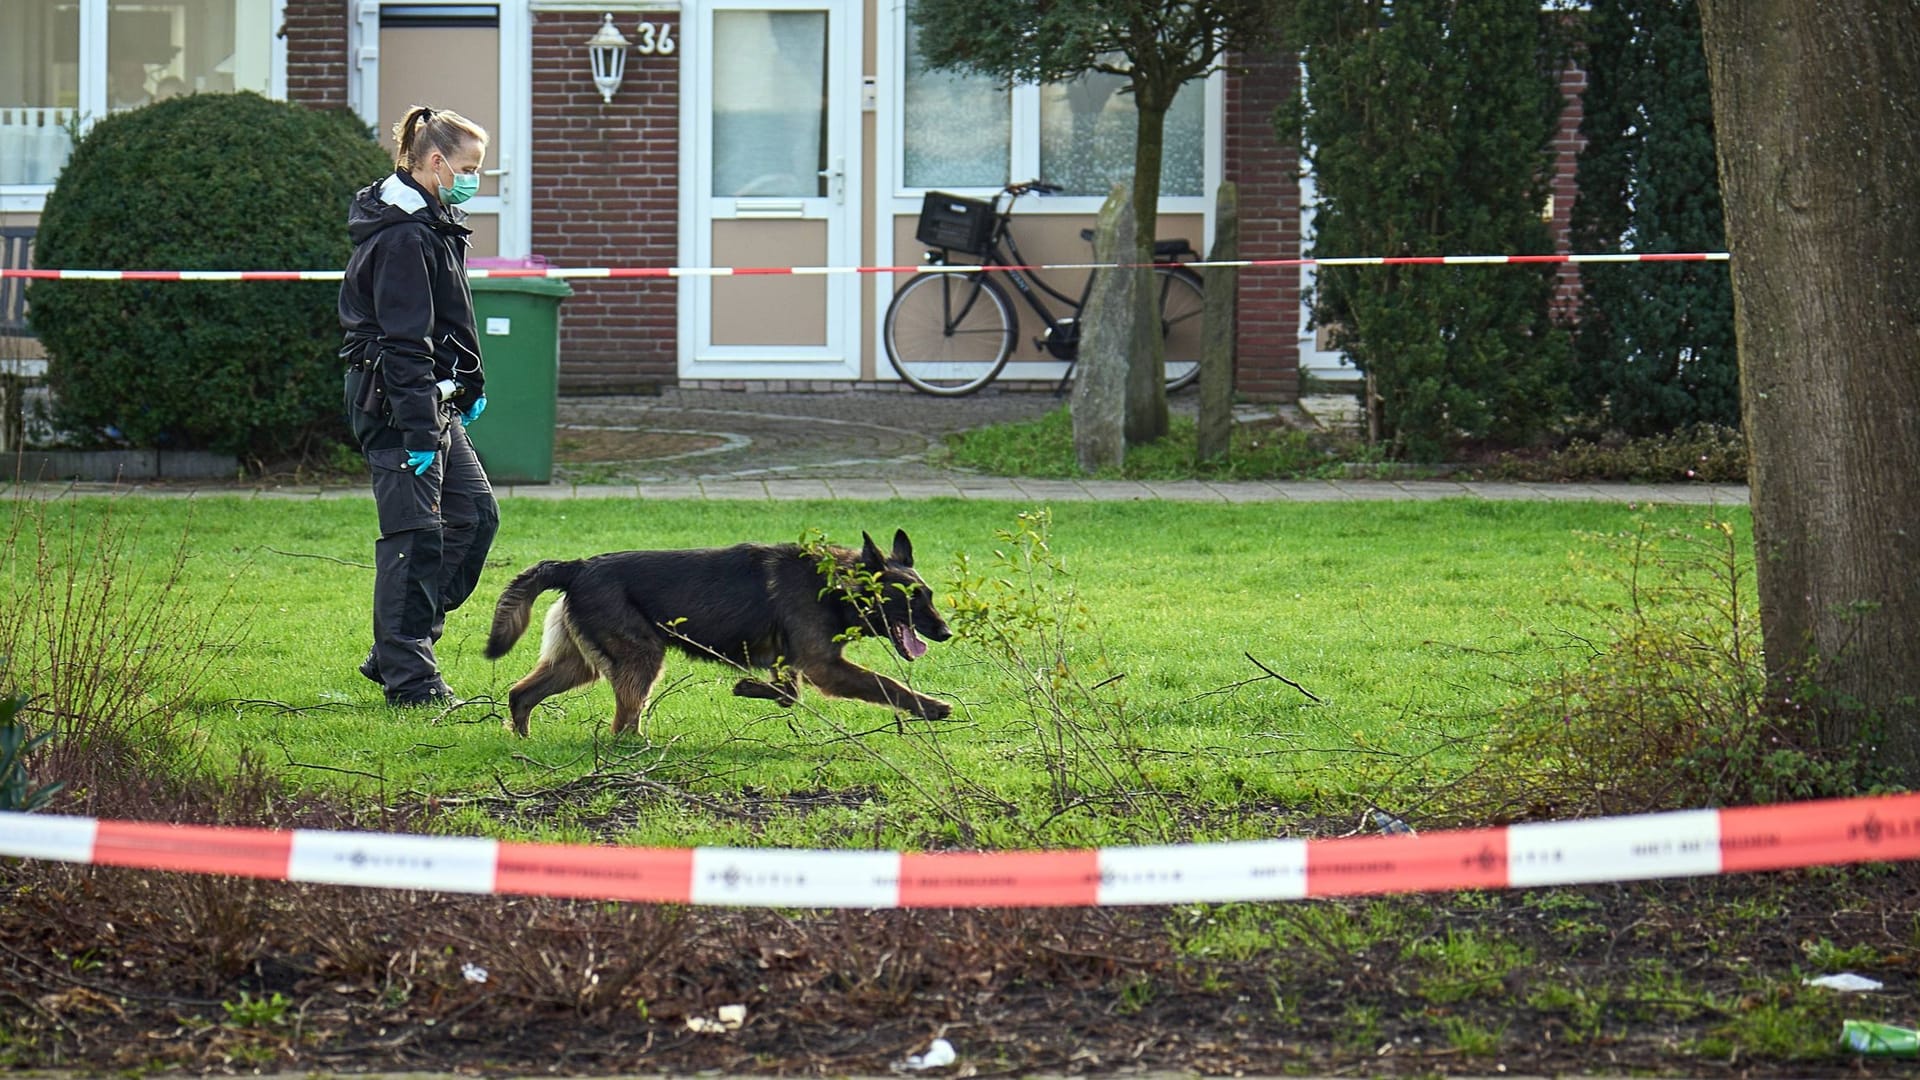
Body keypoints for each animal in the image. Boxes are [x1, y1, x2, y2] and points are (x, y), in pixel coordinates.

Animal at [487, 526, 952, 734]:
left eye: (929, 594)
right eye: (913, 598)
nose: (946, 632)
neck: (832, 584)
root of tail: (577, 567)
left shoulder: (794, 662)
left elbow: (788, 693)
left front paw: (751, 688)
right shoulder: (825, 666)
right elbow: (887, 684)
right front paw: (931, 706)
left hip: (580, 665)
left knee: (521, 693)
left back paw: (523, 741)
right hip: (642, 657)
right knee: (624, 723)